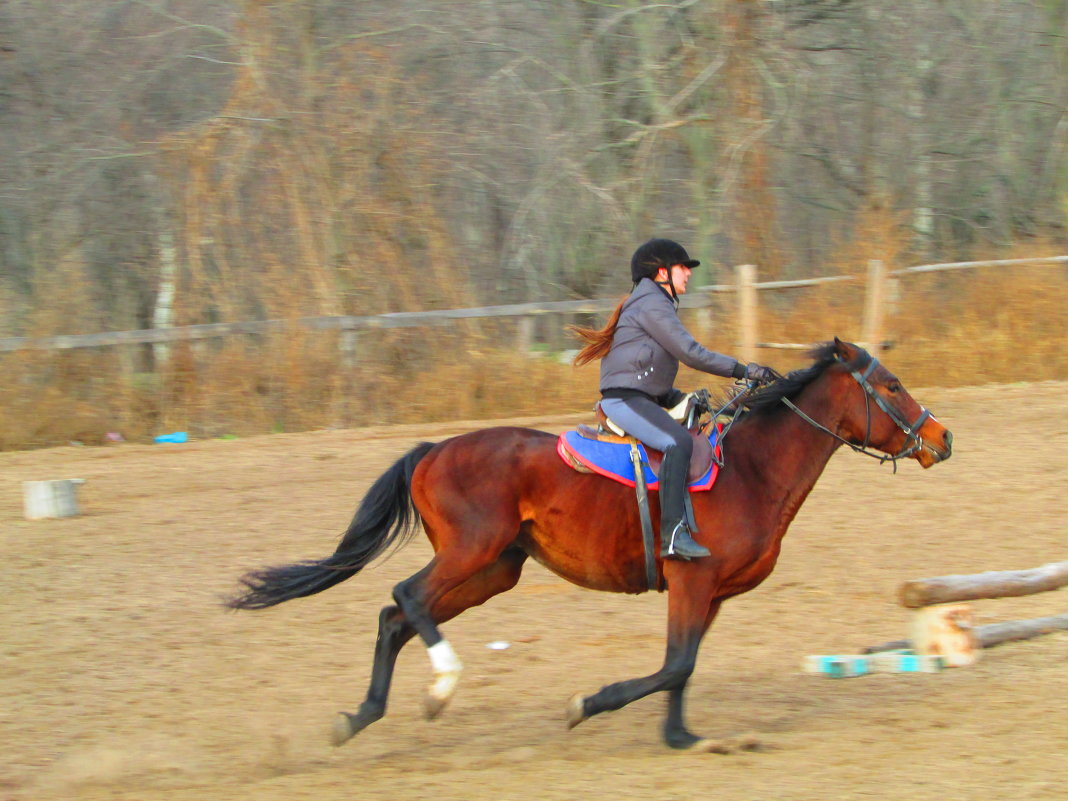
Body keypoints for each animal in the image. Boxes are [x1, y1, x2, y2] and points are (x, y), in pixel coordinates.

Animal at [229, 339, 956, 751]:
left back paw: (361, 716)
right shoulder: (691, 581)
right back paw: (441, 687)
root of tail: (433, 450)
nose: (942, 436)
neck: (750, 470)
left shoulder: (712, 594)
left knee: (395, 616)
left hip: (493, 571)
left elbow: (683, 666)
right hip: (469, 554)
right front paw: (590, 705)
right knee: (406, 596)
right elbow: (673, 664)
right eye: (891, 386)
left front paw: (679, 735)